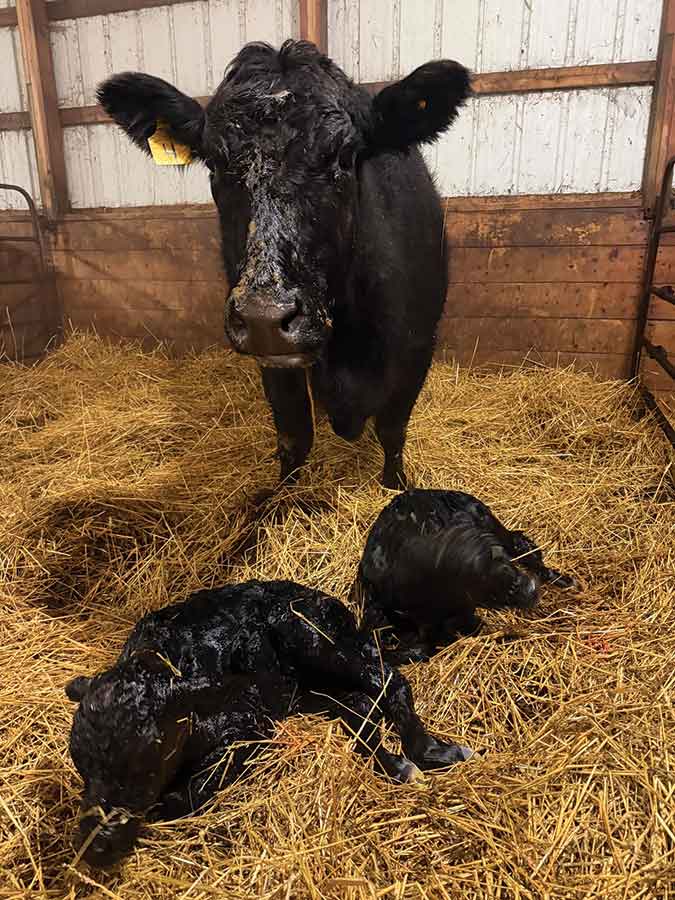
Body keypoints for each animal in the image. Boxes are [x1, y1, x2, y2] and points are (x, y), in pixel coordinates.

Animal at [66, 579, 473, 869]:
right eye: (82, 767)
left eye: (144, 767)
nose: (95, 848)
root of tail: (341, 612)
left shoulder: (248, 722)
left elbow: (187, 796)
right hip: (305, 688)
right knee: (358, 704)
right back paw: (395, 763)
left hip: (314, 640)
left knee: (388, 679)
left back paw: (429, 752)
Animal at [97, 40, 470, 489]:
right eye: (215, 163)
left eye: (344, 157)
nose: (265, 316)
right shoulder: (275, 361)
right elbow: (294, 434)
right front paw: (280, 494)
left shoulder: (418, 349)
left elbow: (392, 430)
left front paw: (395, 484)